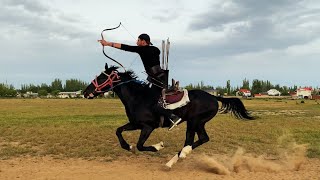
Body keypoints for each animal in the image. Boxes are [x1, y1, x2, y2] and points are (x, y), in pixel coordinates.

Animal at [83, 64, 255, 168]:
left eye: (101, 77)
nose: (85, 92)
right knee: (202, 138)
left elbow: (141, 145)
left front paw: (157, 146)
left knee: (191, 140)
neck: (138, 97)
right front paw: (128, 147)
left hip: (194, 121)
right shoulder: (135, 124)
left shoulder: (148, 126)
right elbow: (118, 131)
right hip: (198, 123)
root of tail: (213, 97)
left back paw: (177, 157)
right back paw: (176, 158)